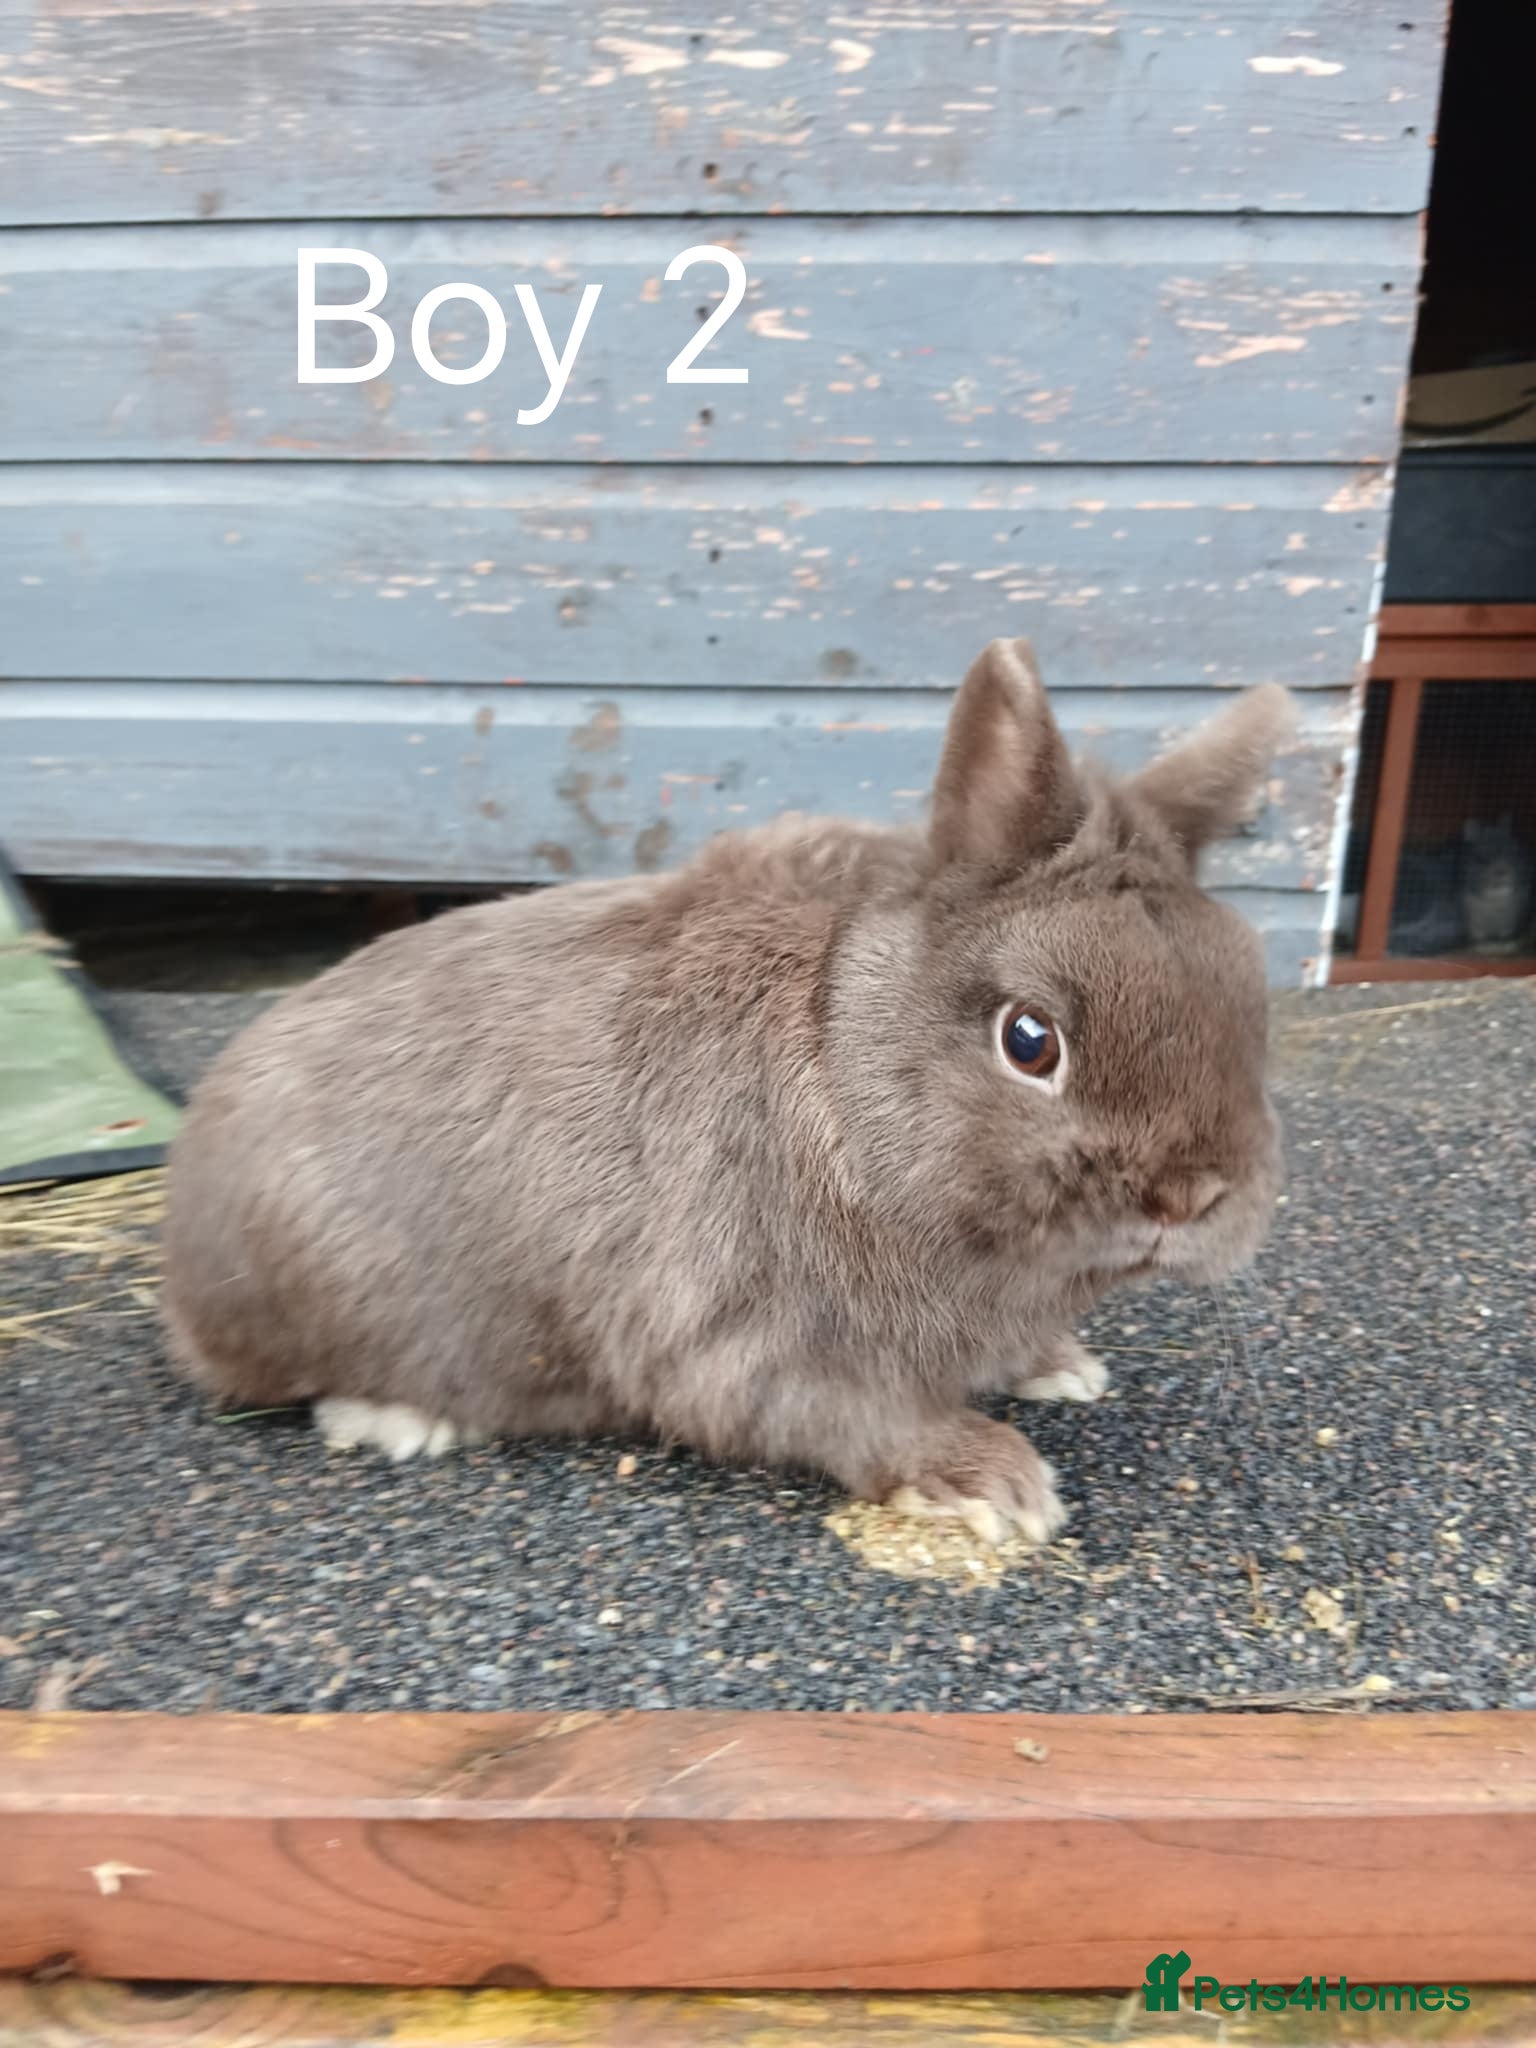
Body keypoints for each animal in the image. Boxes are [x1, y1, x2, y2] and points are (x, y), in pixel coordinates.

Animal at [161, 639, 1293, 1547]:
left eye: (1250, 1001)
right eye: (1030, 1040)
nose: (1192, 1196)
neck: (846, 1063)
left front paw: (1062, 1365)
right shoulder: (735, 1333)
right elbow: (850, 1415)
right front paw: (999, 1480)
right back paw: (405, 1420)